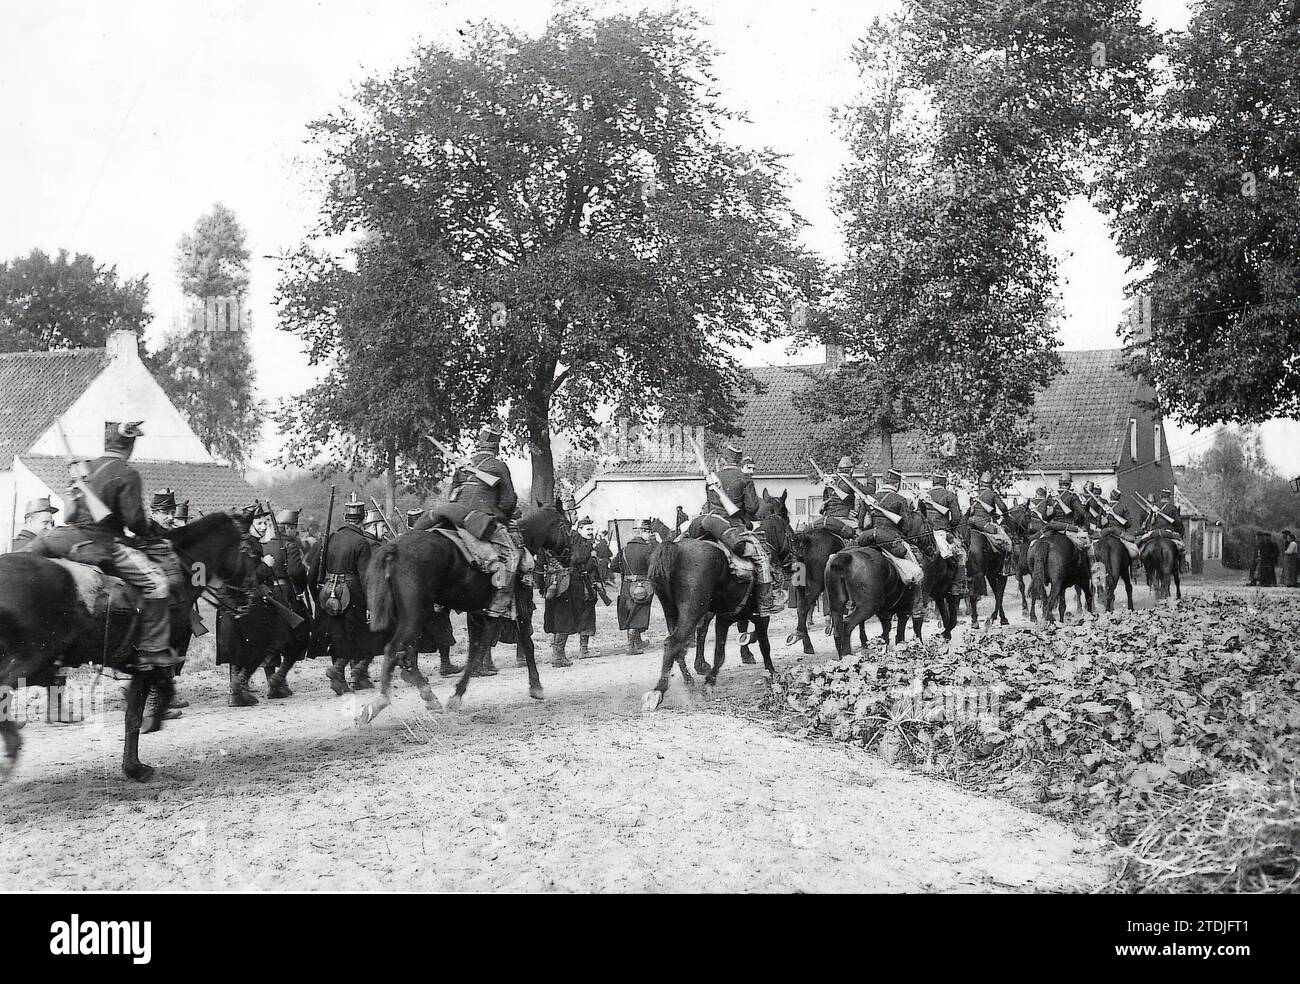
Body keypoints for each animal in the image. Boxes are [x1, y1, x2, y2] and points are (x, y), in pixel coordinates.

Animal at [0, 514, 246, 785]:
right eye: (254, 551)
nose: (255, 593)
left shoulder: (143, 666)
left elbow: (142, 706)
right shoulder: (151, 664)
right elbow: (137, 713)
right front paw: (137, 763)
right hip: (31, 658)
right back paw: (12, 747)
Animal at [361, 506, 574, 722]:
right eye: (567, 524)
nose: (570, 556)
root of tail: (393, 548)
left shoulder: (477, 616)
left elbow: (475, 649)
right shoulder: (513, 610)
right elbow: (513, 645)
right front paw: (536, 687)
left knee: (406, 653)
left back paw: (427, 695)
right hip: (415, 616)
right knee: (395, 649)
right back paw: (379, 702)